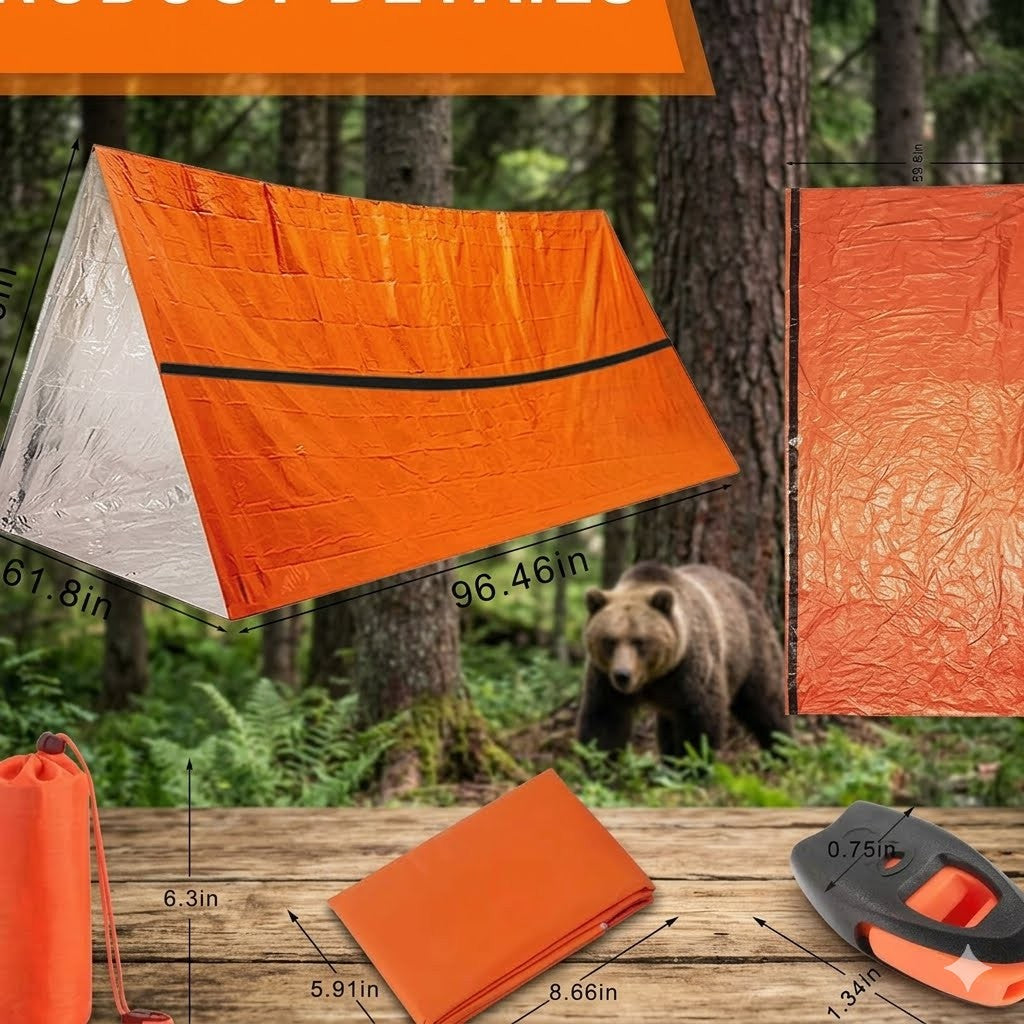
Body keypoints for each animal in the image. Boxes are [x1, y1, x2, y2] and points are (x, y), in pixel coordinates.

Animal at [576, 561, 790, 759]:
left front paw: (692, 762)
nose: (623, 675)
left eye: (640, 641)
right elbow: (605, 720)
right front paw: (599, 761)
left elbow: (700, 720)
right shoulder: (604, 678)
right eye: (609, 641)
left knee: (765, 702)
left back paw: (783, 749)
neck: (653, 678)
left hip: (750, 648)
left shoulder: (689, 669)